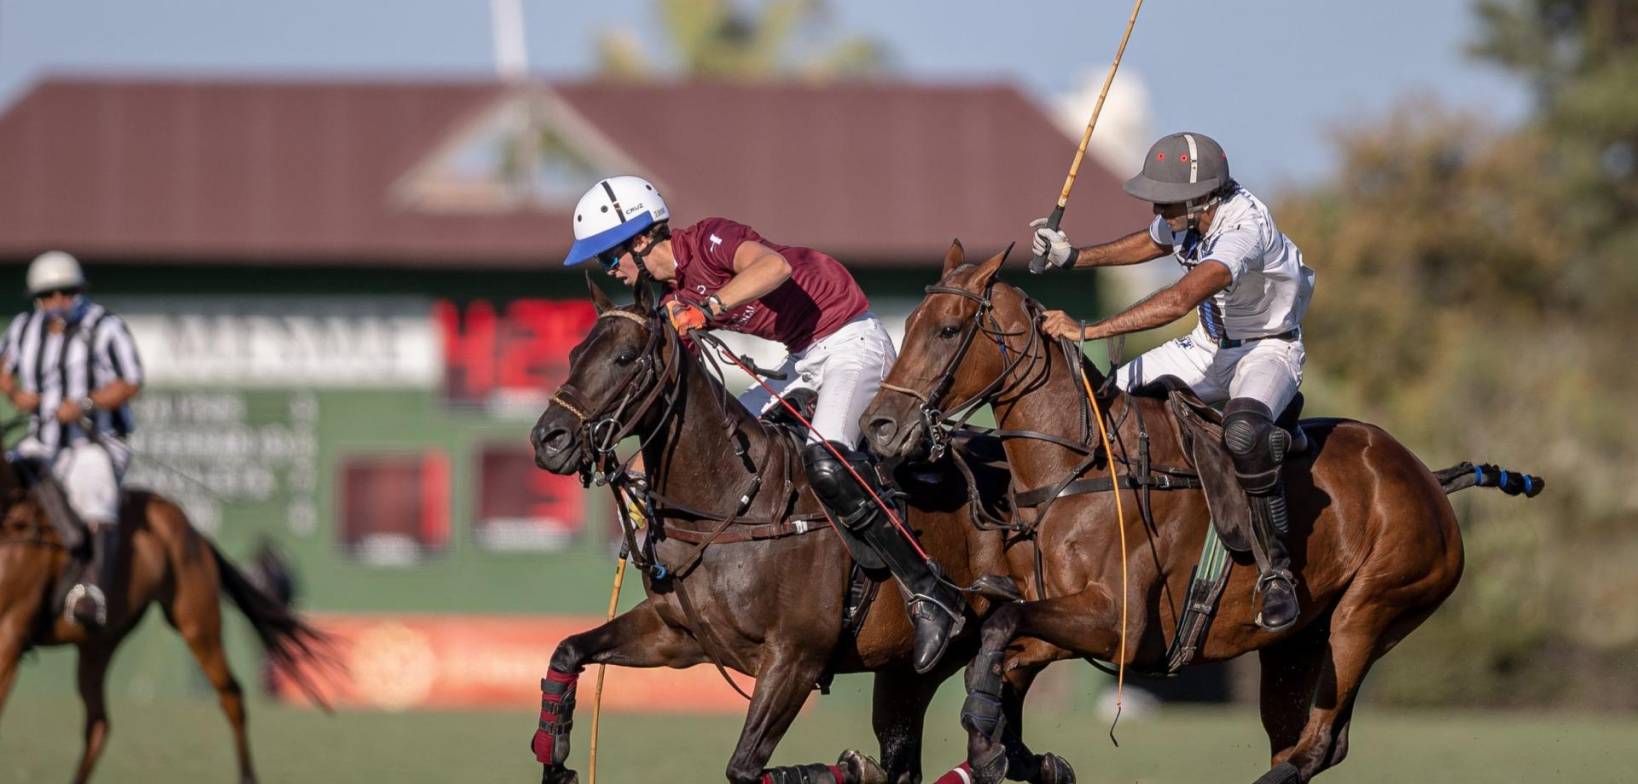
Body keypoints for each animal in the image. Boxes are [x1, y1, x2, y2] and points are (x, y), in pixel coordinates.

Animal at [0, 445, 329, 782]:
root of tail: (191, 526)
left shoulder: (10, 633)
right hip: (99, 643)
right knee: (98, 723)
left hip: (196, 621)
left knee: (231, 694)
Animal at [530, 281, 1067, 784]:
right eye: (575, 354)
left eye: (624, 357)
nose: (547, 439)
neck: (735, 504)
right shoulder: (676, 635)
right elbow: (569, 649)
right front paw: (554, 755)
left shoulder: (795, 658)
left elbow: (744, 767)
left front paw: (847, 768)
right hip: (906, 672)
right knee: (937, 754)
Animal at [864, 245, 1539, 784]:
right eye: (909, 323)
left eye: (948, 330)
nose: (879, 426)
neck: (1077, 471)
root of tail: (1426, 476)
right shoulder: (1059, 620)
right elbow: (1004, 653)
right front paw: (1011, 749)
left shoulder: (1119, 625)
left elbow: (1002, 627)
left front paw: (993, 738)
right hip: (1296, 645)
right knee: (1300, 741)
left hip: (1369, 612)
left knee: (1320, 742)